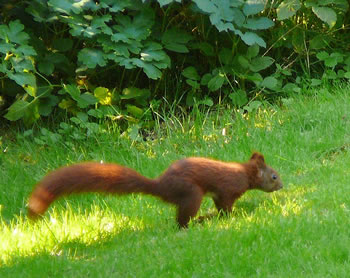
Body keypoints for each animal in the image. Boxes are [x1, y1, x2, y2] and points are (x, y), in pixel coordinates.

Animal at [28, 152, 284, 228]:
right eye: (274, 176)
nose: (282, 185)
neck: (243, 173)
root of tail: (160, 186)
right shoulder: (228, 189)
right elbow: (226, 206)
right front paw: (232, 216)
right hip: (192, 194)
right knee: (182, 220)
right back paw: (194, 224)